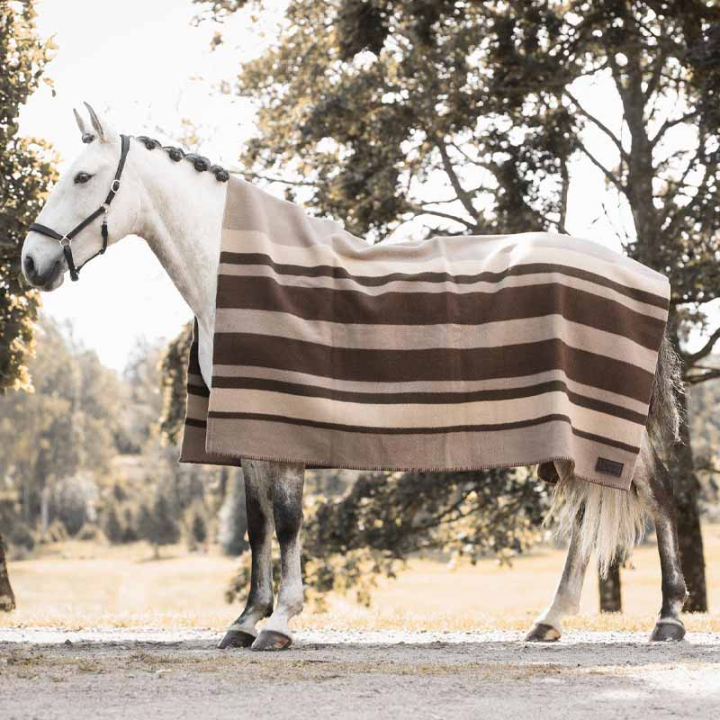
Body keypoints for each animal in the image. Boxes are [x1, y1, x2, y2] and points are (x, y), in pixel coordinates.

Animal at [21, 105, 689, 651]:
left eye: (82, 177)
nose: (31, 262)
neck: (231, 275)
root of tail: (641, 274)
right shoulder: (246, 433)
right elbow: (257, 527)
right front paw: (245, 621)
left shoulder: (282, 424)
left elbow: (288, 523)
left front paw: (280, 623)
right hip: (577, 432)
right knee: (588, 515)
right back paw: (549, 620)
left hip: (604, 427)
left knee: (656, 494)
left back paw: (669, 617)